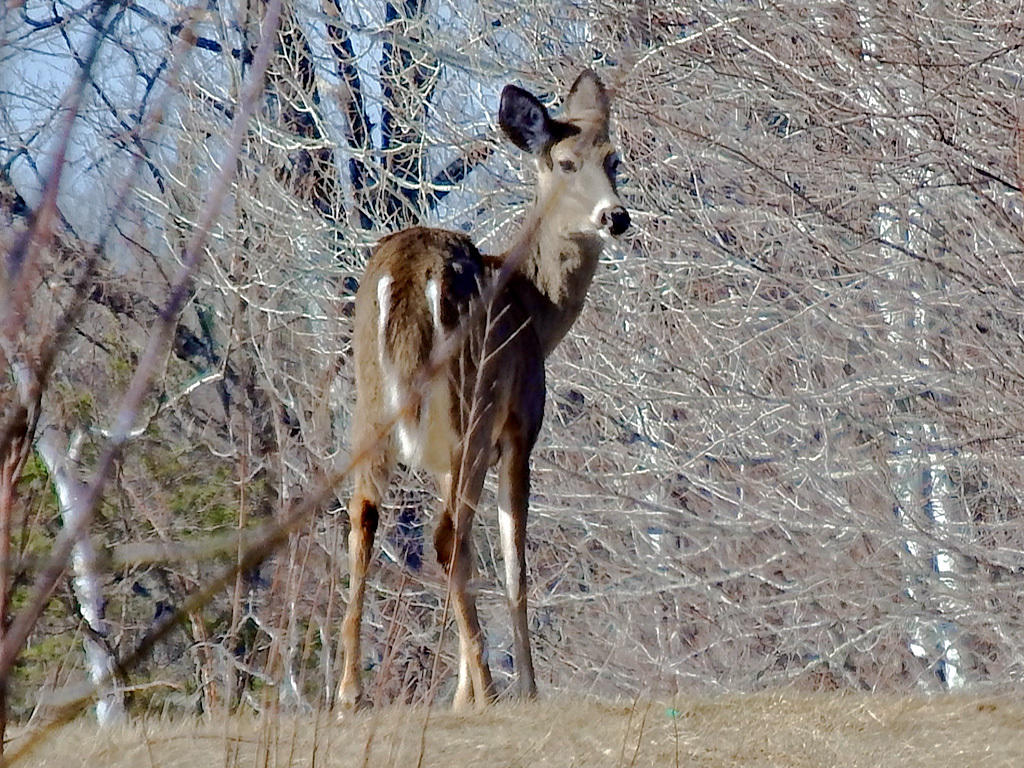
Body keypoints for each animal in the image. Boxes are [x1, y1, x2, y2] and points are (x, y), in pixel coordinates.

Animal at [338, 69, 630, 711]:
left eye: (614, 159)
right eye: (566, 163)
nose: (615, 217)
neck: (537, 309)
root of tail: (403, 276)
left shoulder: (440, 456)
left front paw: (460, 696)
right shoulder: (521, 427)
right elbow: (513, 563)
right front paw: (517, 689)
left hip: (372, 402)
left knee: (365, 519)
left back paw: (349, 694)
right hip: (472, 396)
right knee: (447, 536)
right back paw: (497, 692)